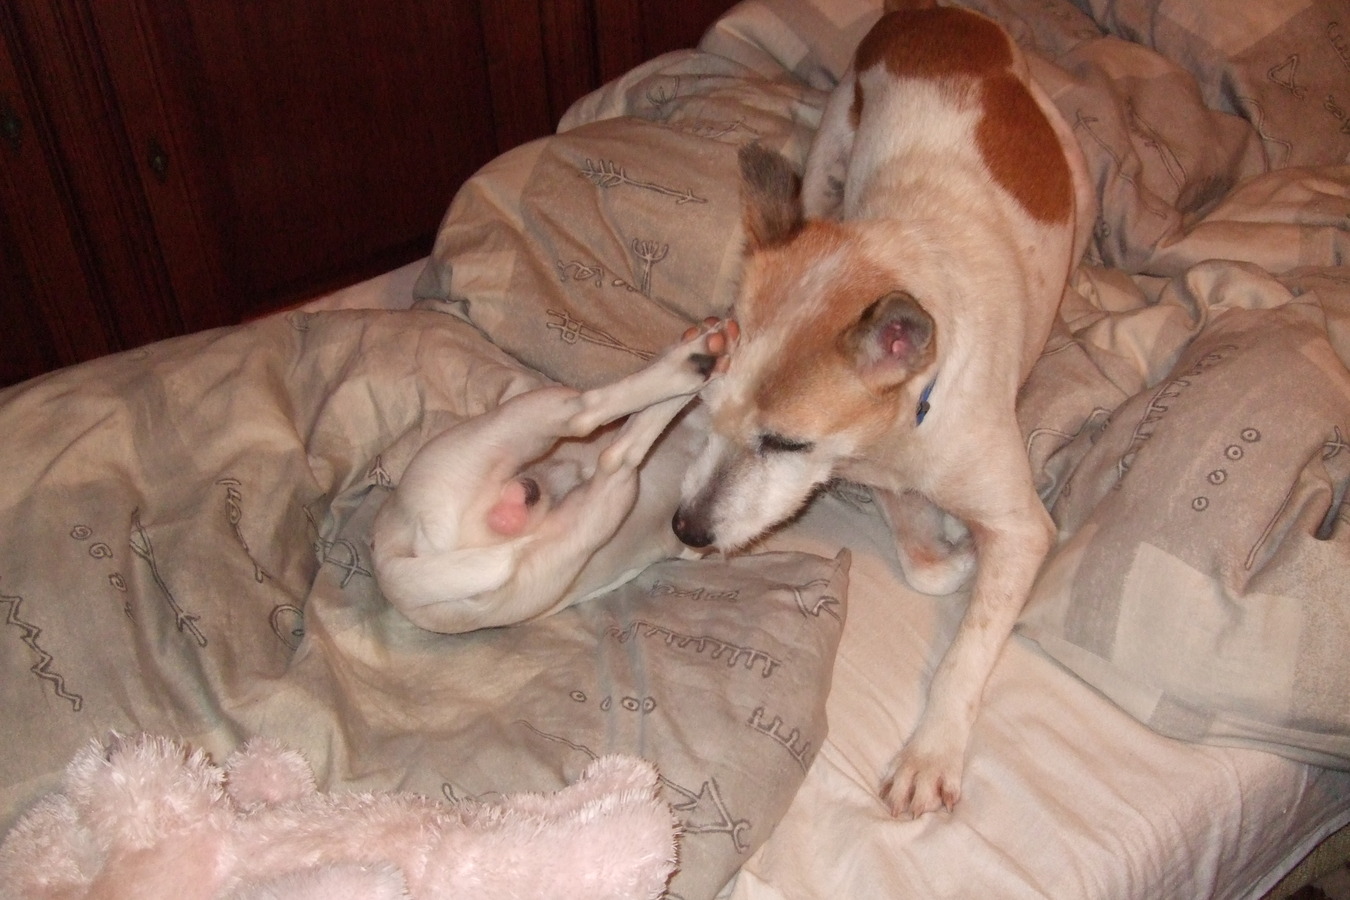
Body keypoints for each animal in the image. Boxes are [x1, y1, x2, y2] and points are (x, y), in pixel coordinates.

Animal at [374, 317, 736, 634]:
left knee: (615, 455)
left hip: (575, 531)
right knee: (592, 420)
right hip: (528, 416)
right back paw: (699, 355)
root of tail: (391, 565)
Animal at [672, 2, 1093, 818]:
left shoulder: (1023, 527)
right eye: (705, 405)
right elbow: (923, 561)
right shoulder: (885, 480)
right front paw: (950, 553)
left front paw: (931, 753)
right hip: (832, 143)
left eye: (787, 443)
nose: (686, 529)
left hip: (1076, 172)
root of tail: (940, 16)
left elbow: (970, 642)